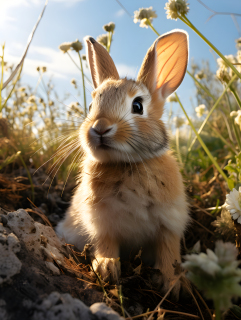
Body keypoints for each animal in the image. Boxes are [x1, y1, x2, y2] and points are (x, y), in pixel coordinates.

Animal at [55, 30, 189, 296]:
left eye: (137, 106)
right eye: (91, 105)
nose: (100, 128)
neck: (128, 164)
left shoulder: (169, 223)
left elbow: (168, 251)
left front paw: (172, 283)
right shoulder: (102, 222)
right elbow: (106, 243)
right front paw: (106, 268)